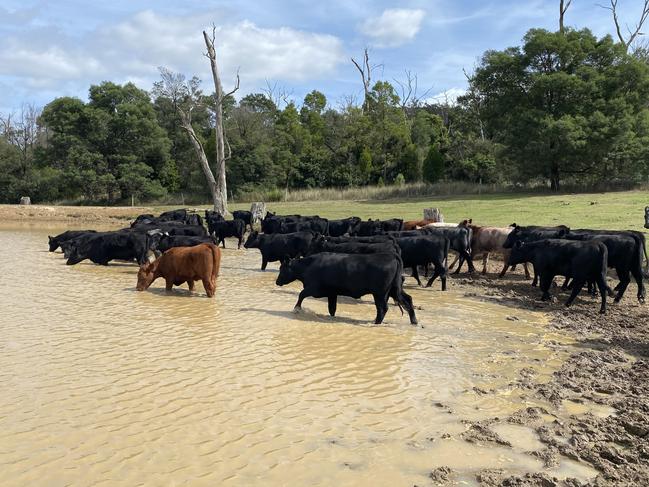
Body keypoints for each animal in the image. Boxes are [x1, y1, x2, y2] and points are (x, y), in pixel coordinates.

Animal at [274, 254, 418, 326]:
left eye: (282, 268)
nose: (277, 281)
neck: (308, 265)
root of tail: (392, 258)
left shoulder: (314, 289)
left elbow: (301, 294)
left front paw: (296, 309)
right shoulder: (332, 293)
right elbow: (332, 308)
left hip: (380, 293)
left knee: (382, 308)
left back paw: (376, 323)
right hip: (394, 290)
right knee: (408, 300)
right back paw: (414, 321)